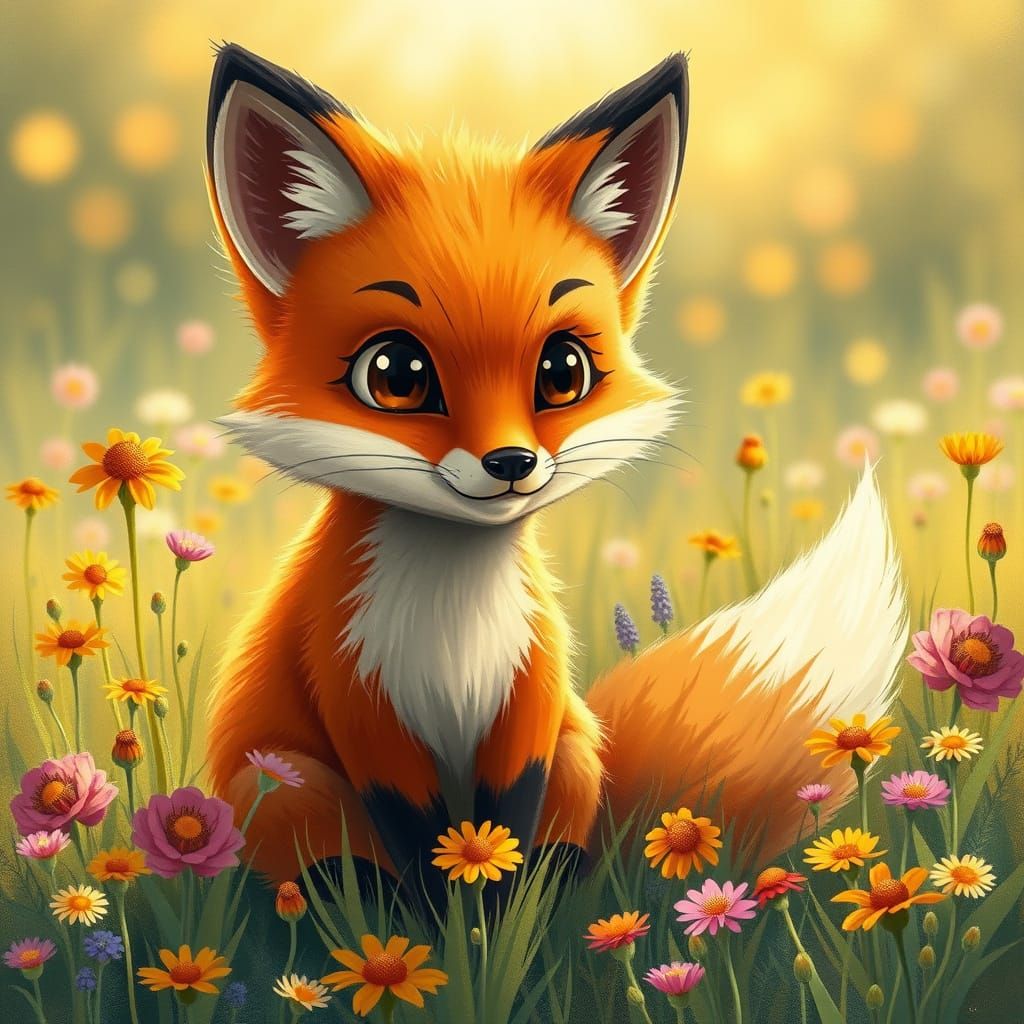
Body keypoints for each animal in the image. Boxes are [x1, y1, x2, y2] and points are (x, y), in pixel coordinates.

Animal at [204, 43, 908, 901]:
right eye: (396, 375)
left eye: (562, 371)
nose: (512, 462)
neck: (452, 628)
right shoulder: (359, 702)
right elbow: (419, 840)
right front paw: (444, 920)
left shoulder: (530, 700)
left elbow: (502, 825)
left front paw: (500, 908)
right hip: (285, 782)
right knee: (326, 862)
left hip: (576, 748)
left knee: (569, 838)